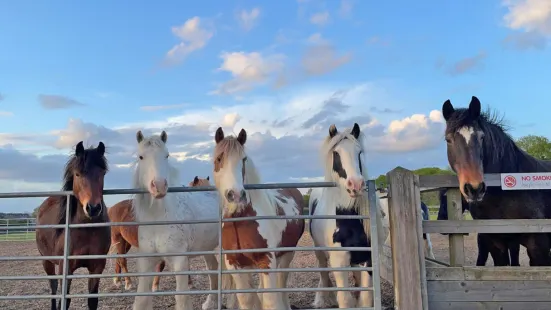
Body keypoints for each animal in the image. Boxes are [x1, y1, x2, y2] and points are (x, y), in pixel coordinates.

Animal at [35, 142, 111, 308]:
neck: (86, 229)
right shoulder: (66, 267)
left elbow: (92, 300)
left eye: (102, 173)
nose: (93, 208)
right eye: (77, 174)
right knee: (53, 287)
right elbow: (65, 299)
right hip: (46, 261)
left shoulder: (97, 267)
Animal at [212, 126, 306, 310]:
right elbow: (247, 299)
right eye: (219, 158)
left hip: (287, 254)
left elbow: (270, 300)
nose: (236, 195)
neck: (241, 219)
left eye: (243, 160)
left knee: (281, 283)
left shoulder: (267, 260)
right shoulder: (234, 264)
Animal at [308, 122, 386, 308]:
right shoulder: (339, 262)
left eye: (359, 152)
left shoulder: (368, 259)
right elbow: (344, 299)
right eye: (336, 153)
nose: (355, 184)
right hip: (320, 252)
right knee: (323, 273)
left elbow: (365, 300)